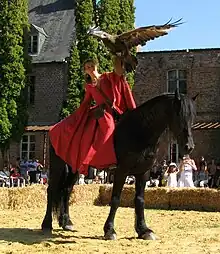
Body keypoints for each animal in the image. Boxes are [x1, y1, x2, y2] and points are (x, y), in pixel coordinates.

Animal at [41, 91, 196, 240]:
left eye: (192, 116)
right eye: (178, 114)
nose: (189, 147)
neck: (139, 131)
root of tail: (55, 128)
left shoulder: (143, 173)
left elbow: (140, 200)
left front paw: (143, 230)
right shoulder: (121, 171)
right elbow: (115, 199)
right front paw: (109, 230)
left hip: (75, 168)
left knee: (66, 190)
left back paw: (66, 222)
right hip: (58, 166)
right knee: (52, 190)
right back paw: (47, 224)